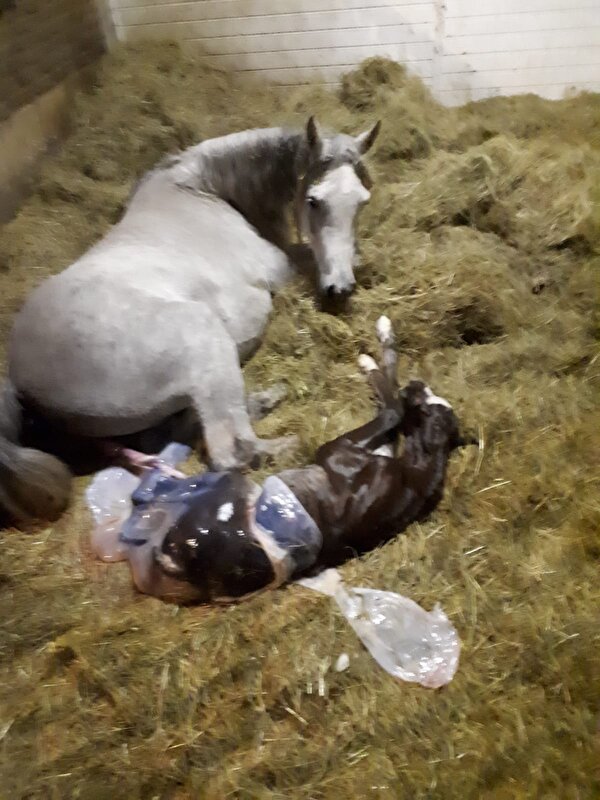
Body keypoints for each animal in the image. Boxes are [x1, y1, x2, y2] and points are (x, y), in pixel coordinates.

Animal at [0, 116, 381, 524]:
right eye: (313, 200)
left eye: (362, 201)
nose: (339, 290)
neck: (202, 189)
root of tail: (18, 379)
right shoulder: (281, 270)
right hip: (205, 342)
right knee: (232, 450)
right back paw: (290, 444)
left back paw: (268, 398)